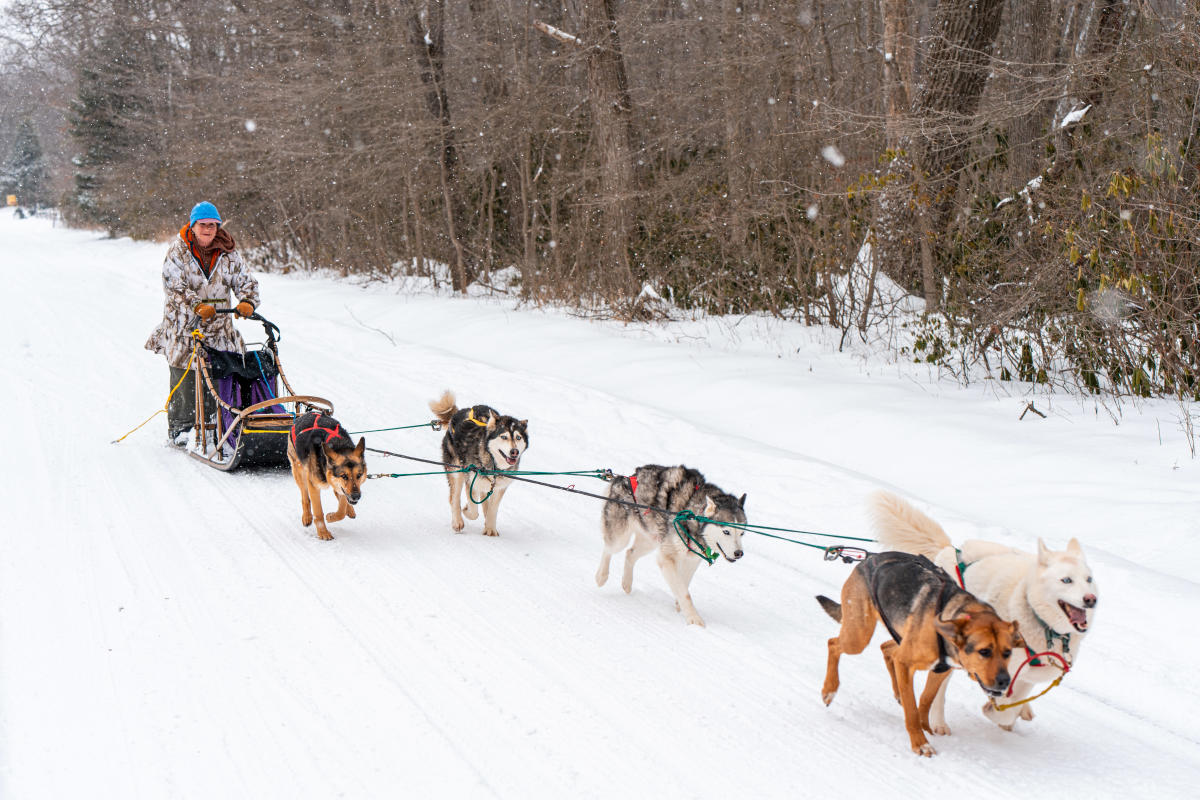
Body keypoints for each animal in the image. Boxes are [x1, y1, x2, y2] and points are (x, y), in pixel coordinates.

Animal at [429, 388, 528, 537]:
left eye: (518, 437)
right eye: (504, 437)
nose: (514, 452)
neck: (493, 463)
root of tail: (459, 413)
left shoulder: (500, 487)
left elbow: (493, 509)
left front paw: (490, 528)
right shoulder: (471, 480)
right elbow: (473, 510)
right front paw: (466, 511)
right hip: (456, 470)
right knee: (454, 498)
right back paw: (457, 521)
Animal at [595, 465, 744, 628]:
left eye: (742, 533)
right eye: (726, 531)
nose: (739, 553)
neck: (692, 515)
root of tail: (623, 478)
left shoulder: (691, 559)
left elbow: (683, 584)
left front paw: (680, 605)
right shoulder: (667, 559)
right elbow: (684, 591)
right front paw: (694, 619)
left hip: (651, 540)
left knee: (630, 553)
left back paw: (627, 583)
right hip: (620, 538)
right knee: (609, 549)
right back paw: (601, 576)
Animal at [820, 551, 1027, 758]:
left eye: (1007, 652)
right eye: (984, 652)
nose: (1004, 681)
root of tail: (868, 559)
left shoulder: (941, 670)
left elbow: (926, 700)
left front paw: (925, 727)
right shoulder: (905, 663)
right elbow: (912, 710)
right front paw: (920, 742)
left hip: (895, 639)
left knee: (885, 649)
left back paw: (897, 691)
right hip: (858, 636)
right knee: (833, 643)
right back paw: (830, 689)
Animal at [868, 489, 1099, 734]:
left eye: (1088, 579)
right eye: (1066, 580)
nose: (1091, 599)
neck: (1042, 625)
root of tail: (949, 551)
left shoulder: (1025, 676)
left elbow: (1015, 704)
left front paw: (1011, 712)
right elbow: (1002, 708)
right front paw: (993, 709)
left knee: (891, 647)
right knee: (937, 690)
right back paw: (939, 723)